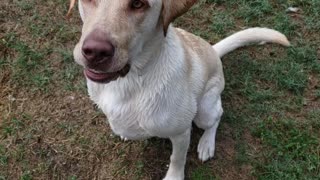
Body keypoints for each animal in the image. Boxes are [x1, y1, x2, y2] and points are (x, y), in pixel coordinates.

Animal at [70, 0, 290, 179]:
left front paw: (174, 177)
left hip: (204, 111)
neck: (131, 79)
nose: (95, 52)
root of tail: (214, 51)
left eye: (138, 4)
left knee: (218, 115)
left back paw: (207, 143)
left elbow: (177, 158)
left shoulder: (181, 132)